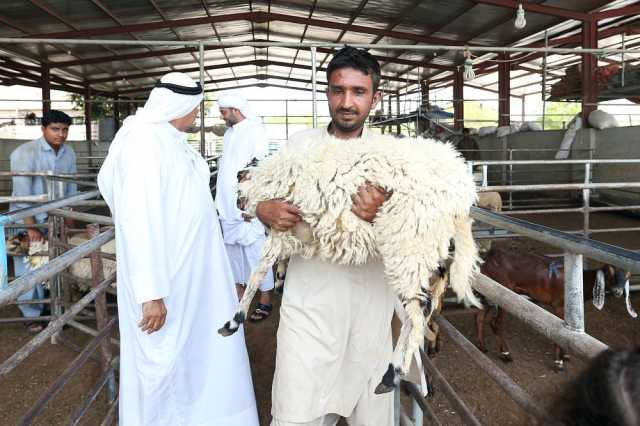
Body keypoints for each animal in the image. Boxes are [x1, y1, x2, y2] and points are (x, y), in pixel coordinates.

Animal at [216, 134, 480, 392]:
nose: (238, 208)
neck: (270, 175)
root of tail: (462, 188)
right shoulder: (291, 232)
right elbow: (274, 263)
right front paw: (280, 279)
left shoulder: (283, 227)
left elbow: (257, 273)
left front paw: (234, 320)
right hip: (429, 247)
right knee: (427, 302)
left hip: (408, 243)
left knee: (418, 310)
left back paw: (393, 374)